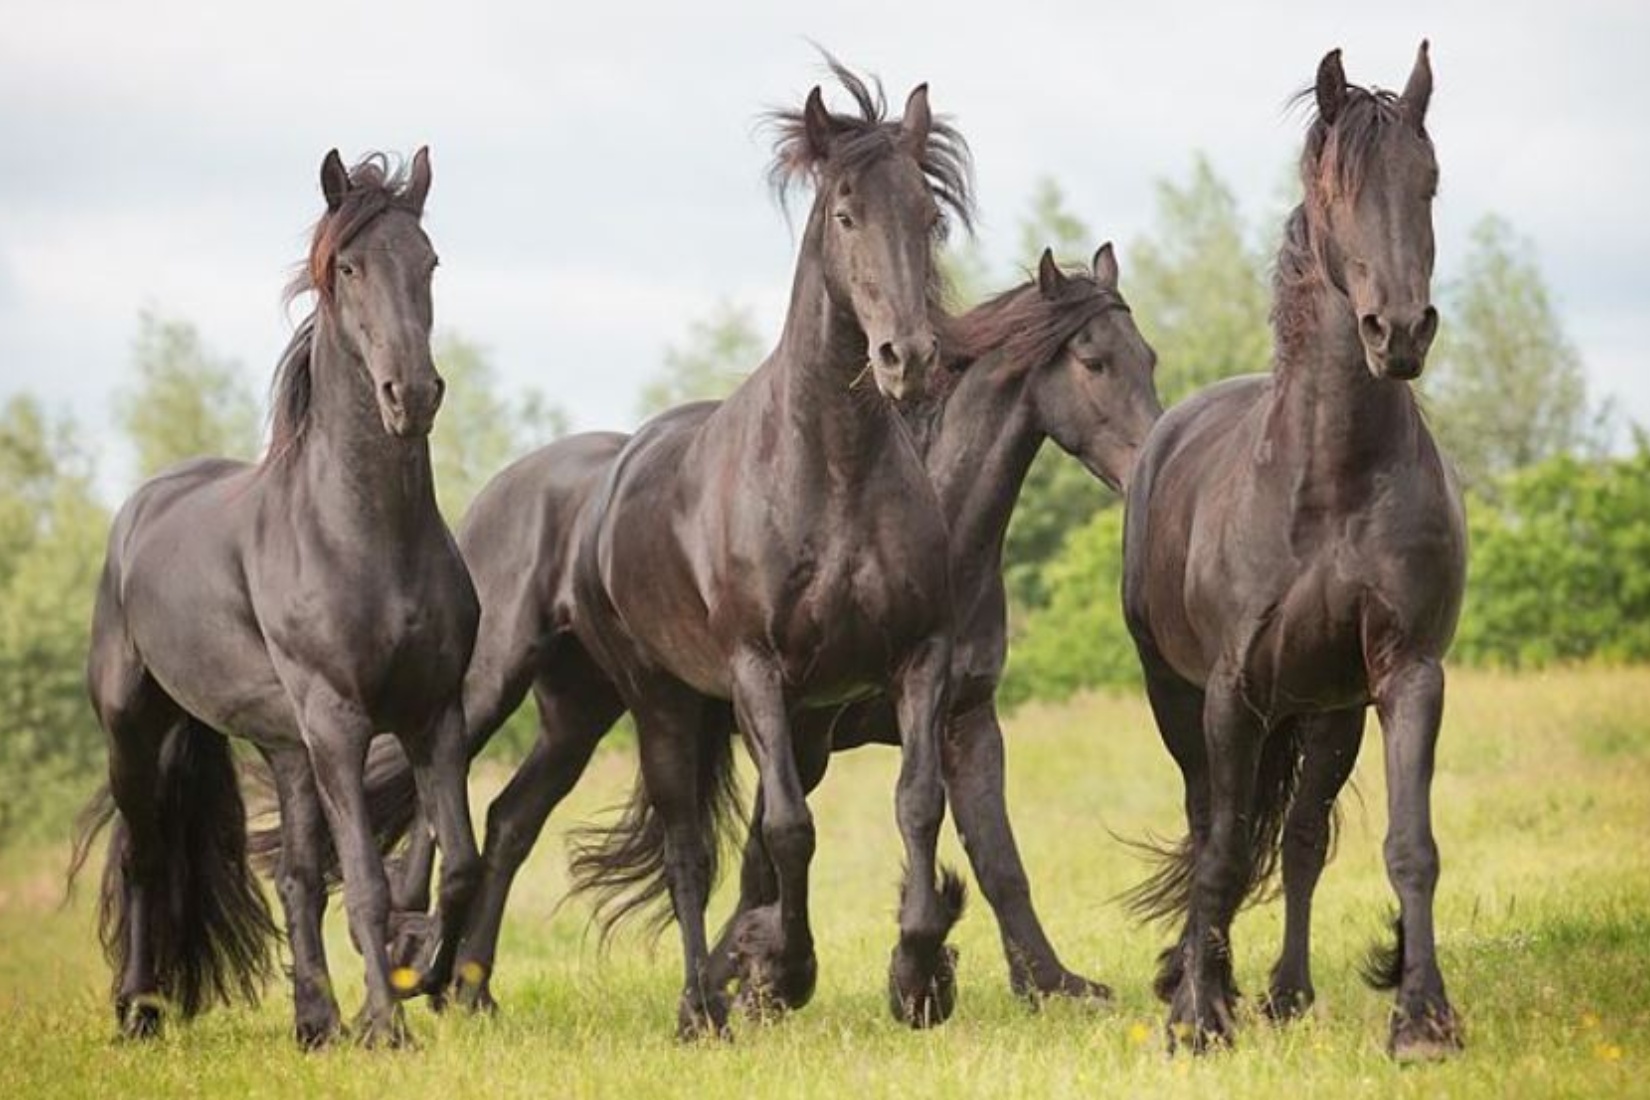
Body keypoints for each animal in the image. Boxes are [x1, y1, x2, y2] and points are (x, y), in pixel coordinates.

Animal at [68, 145, 481, 1048]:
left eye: (431, 262)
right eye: (349, 268)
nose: (412, 396)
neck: (365, 537)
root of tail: (141, 509)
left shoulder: (433, 715)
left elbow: (456, 866)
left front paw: (416, 971)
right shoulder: (338, 720)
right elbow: (365, 882)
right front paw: (387, 1029)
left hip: (285, 751)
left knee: (293, 878)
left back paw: (316, 1023)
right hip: (138, 731)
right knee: (147, 859)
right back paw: (140, 1012)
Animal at [1128, 43, 1465, 1055]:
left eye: (1429, 182)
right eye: (1334, 190)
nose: (1399, 332)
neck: (1331, 482)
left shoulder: (1405, 673)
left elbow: (1408, 846)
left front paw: (1422, 1021)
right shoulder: (1230, 691)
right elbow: (1223, 849)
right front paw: (1197, 1018)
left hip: (1327, 711)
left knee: (1306, 838)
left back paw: (1285, 992)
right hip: (1182, 699)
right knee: (1214, 826)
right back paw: (1211, 985)